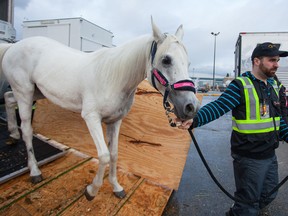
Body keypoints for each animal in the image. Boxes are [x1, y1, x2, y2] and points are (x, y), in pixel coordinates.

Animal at [0, 19, 200, 201]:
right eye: (166, 60)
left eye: (188, 63)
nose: (191, 107)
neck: (113, 77)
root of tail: (13, 46)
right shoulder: (91, 118)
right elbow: (104, 156)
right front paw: (92, 190)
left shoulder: (115, 121)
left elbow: (114, 154)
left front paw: (116, 187)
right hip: (24, 93)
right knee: (27, 129)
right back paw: (34, 171)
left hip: (36, 92)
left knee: (8, 99)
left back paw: (13, 135)